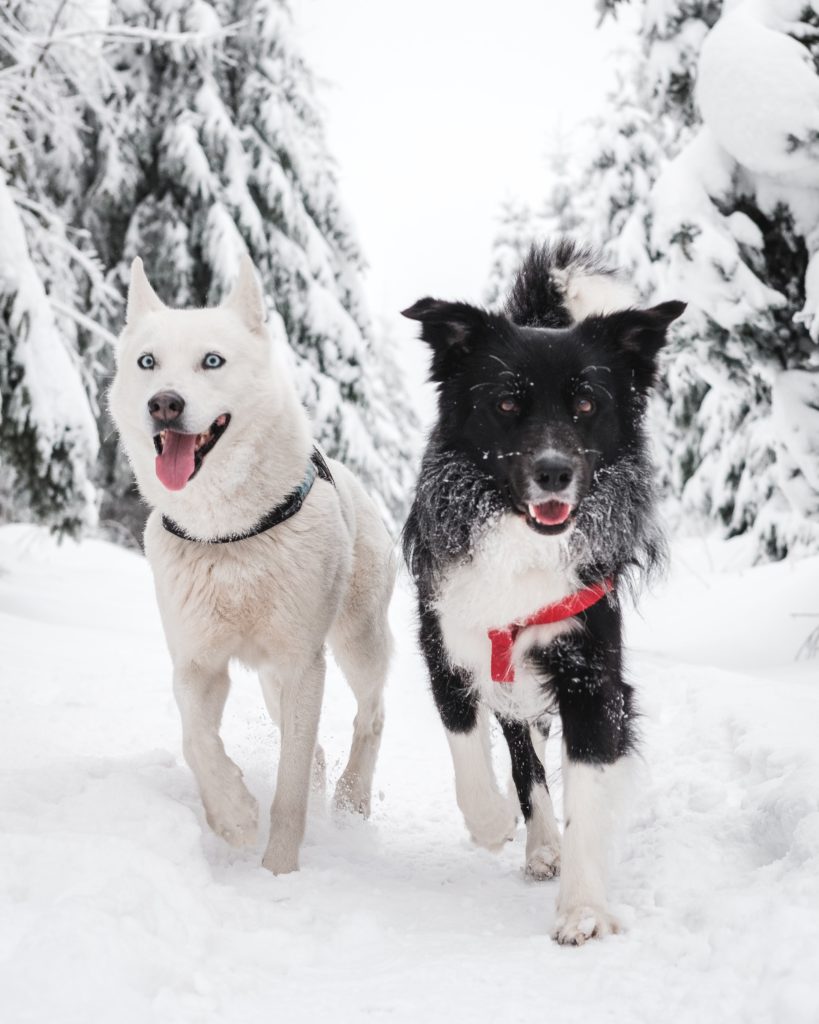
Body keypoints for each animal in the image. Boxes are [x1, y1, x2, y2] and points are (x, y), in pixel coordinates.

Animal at [108, 256, 393, 872]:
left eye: (212, 360)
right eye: (148, 362)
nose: (163, 402)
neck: (228, 534)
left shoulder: (304, 664)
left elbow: (289, 790)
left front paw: (278, 871)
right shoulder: (196, 662)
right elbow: (196, 739)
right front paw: (234, 816)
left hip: (357, 643)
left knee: (371, 714)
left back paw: (352, 798)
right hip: (270, 681)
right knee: (314, 748)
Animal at [403, 239, 683, 942]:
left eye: (586, 405)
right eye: (506, 404)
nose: (554, 472)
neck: (521, 544)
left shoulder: (589, 674)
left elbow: (588, 784)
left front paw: (583, 909)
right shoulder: (448, 645)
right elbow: (471, 747)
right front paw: (494, 822)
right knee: (523, 757)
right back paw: (536, 841)